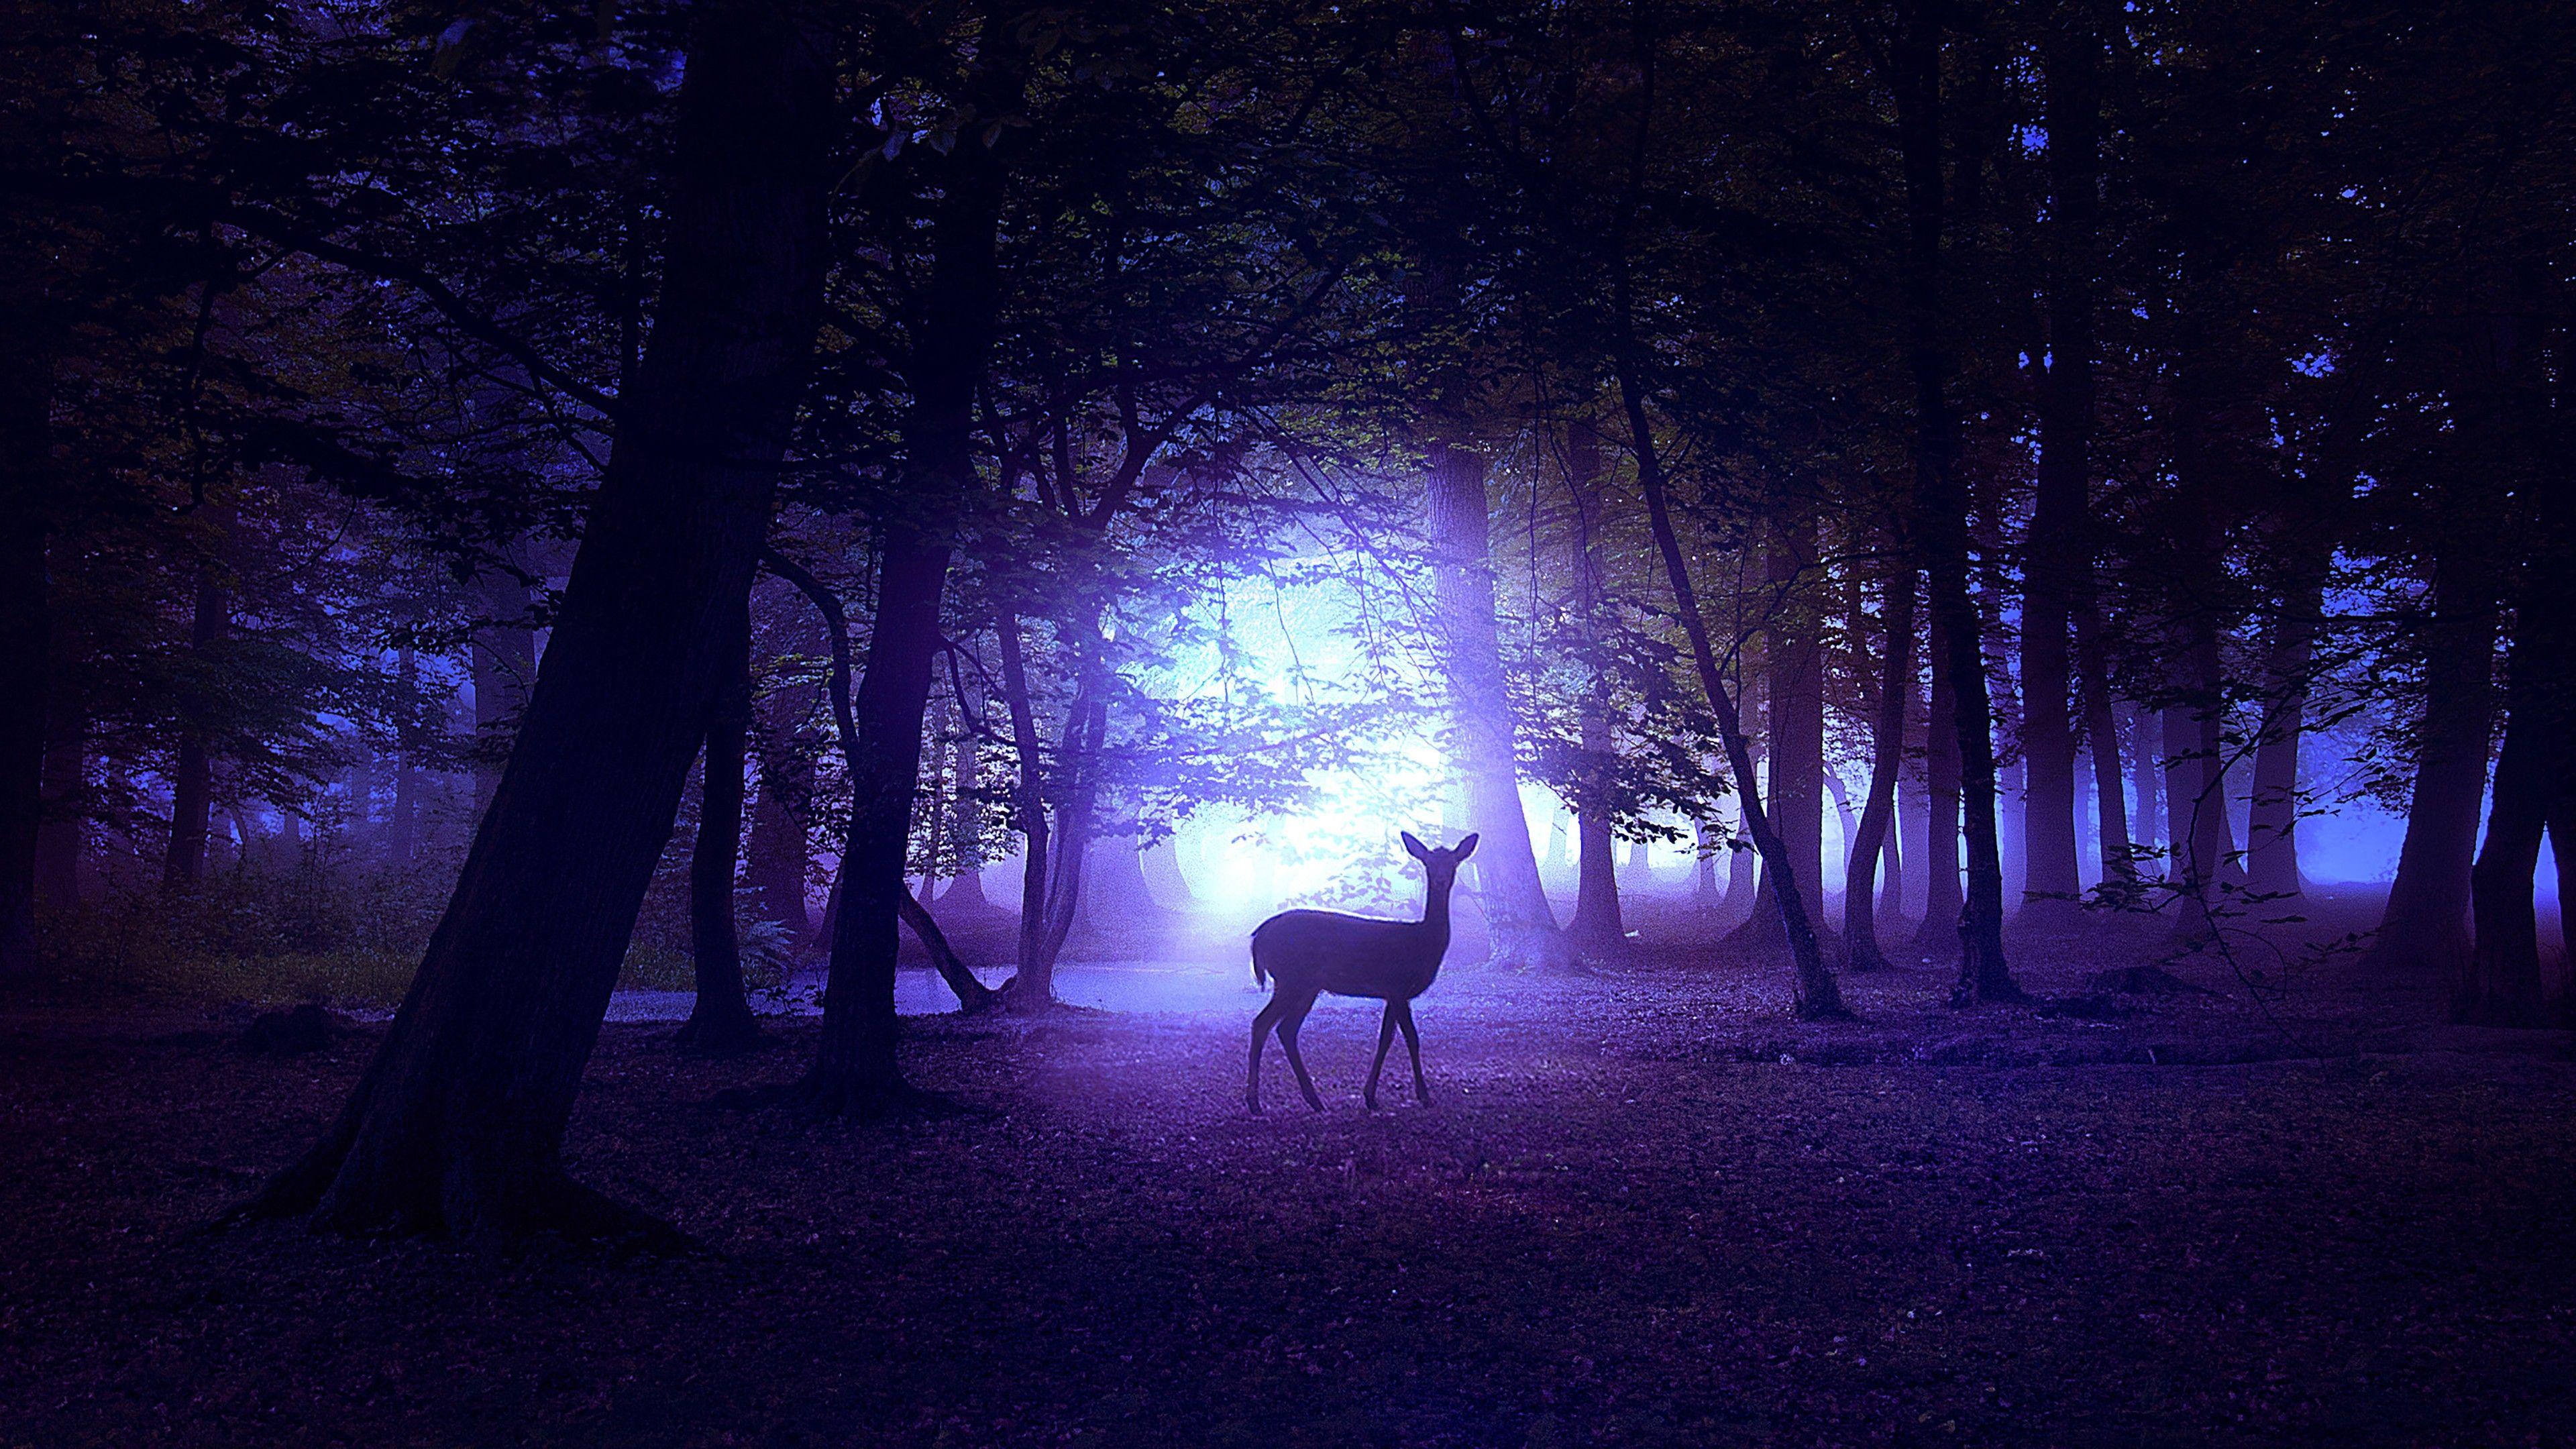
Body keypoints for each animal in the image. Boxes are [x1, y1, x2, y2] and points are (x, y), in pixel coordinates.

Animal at [1241, 830, 1483, 1108]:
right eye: (1429, 864)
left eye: (1453, 863)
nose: (1442, 880)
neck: (1421, 944)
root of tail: (1258, 937)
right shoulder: (1398, 985)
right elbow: (1412, 1038)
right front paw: (1424, 1096)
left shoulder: (1392, 993)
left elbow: (1385, 1039)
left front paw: (1370, 1097)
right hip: (1291, 978)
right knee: (1262, 1023)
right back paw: (1255, 1102)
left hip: (1306, 985)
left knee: (1286, 1029)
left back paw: (1313, 1100)